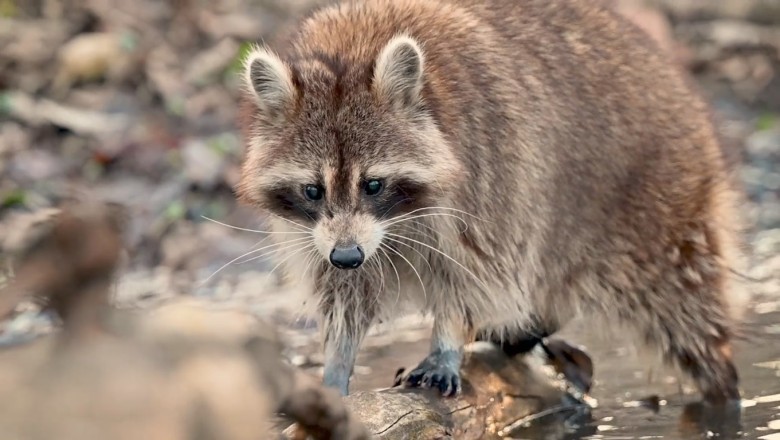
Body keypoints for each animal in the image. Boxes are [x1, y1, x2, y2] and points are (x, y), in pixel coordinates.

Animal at [235, 0, 749, 405]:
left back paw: (721, 388)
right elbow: (345, 293)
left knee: (685, 311)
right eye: (313, 189)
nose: (347, 256)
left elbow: (472, 270)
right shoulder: (321, 234)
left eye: (374, 185)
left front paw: (446, 341)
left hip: (655, 209)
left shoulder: (492, 176)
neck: (350, 51)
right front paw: (338, 362)